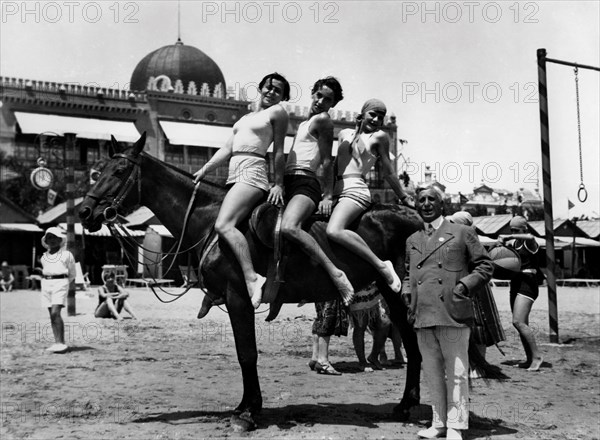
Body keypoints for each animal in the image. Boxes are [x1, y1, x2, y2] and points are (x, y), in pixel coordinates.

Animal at [79, 132, 424, 432]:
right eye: (98, 170)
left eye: (119, 170)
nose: (85, 211)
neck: (216, 221)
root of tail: (410, 214)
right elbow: (244, 354)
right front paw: (246, 405)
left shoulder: (238, 297)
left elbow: (247, 354)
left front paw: (248, 412)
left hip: (395, 291)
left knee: (411, 338)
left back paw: (408, 404)